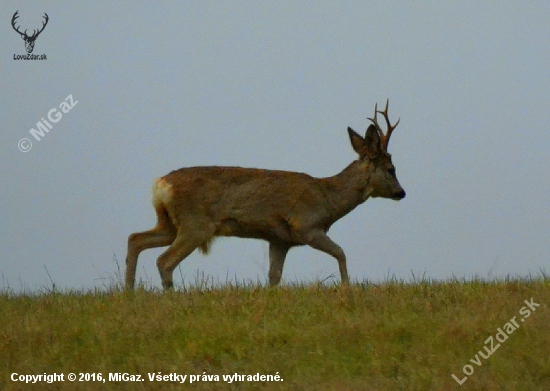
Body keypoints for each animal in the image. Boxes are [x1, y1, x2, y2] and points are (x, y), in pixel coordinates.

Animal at [127, 101, 408, 290]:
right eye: (391, 169)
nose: (402, 192)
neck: (328, 198)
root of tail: (161, 184)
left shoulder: (279, 239)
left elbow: (274, 275)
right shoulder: (306, 225)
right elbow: (341, 252)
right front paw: (347, 288)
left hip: (170, 222)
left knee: (135, 239)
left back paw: (129, 292)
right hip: (195, 223)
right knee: (164, 260)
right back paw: (169, 294)